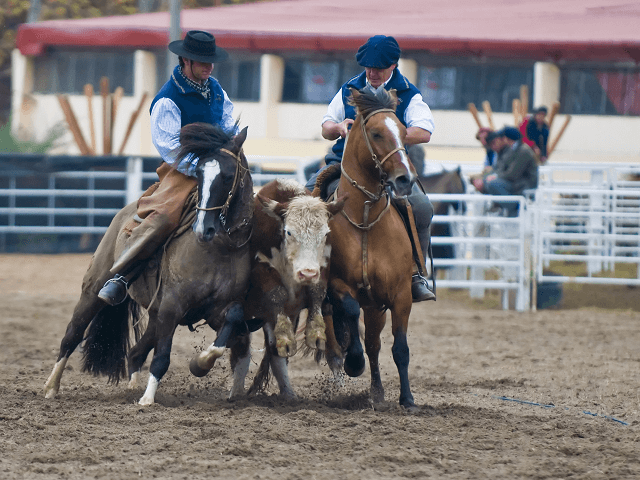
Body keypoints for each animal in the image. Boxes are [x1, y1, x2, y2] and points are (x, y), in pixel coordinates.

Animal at [43, 122, 254, 404]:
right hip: (93, 289)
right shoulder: (172, 307)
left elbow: (232, 322)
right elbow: (162, 357)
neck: (220, 248)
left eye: (229, 175)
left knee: (135, 352)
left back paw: (132, 387)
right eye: (198, 173)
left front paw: (200, 364)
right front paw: (147, 400)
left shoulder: (215, 309)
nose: (203, 229)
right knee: (72, 335)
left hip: (154, 315)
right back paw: (51, 387)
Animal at [244, 179, 342, 398]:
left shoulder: (323, 265)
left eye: (325, 233)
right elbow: (276, 294)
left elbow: (317, 291)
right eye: (289, 231)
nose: (307, 273)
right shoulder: (261, 267)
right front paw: (285, 338)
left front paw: (316, 332)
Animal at [322, 86, 422, 408]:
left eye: (404, 132)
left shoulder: (401, 295)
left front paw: (407, 399)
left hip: (377, 306)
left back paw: (377, 393)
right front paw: (353, 363)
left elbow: (399, 348)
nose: (405, 179)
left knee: (375, 345)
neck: (365, 219)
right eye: (376, 133)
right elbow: (351, 314)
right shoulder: (338, 286)